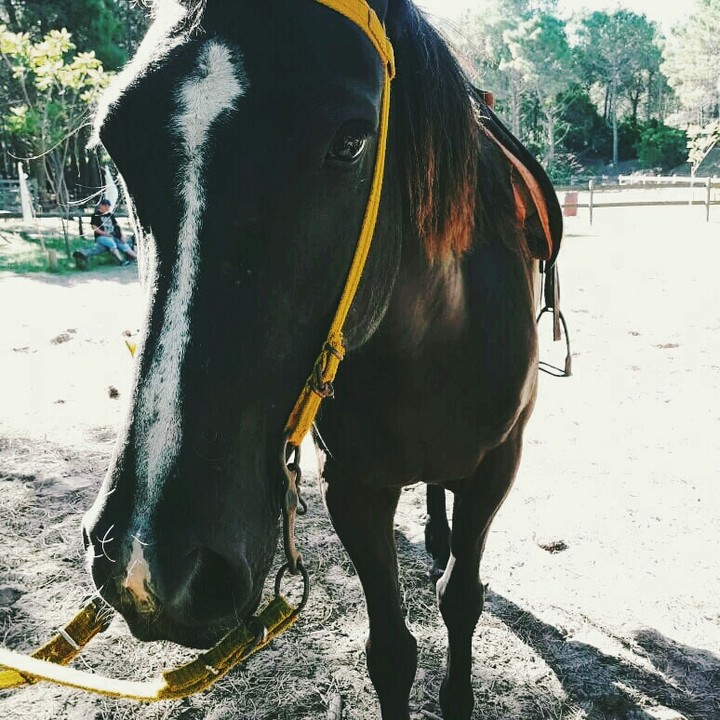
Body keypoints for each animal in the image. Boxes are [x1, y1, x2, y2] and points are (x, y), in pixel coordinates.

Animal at [81, 1, 563, 717]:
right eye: (114, 145)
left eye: (352, 141)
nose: (151, 562)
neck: (430, 340)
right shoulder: (354, 487)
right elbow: (391, 650)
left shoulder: (496, 465)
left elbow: (459, 599)